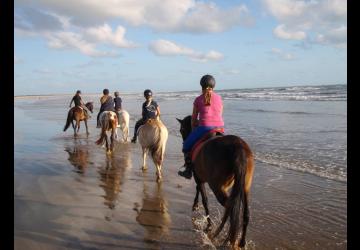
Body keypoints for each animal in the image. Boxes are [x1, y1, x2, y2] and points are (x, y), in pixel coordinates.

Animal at [176, 116, 255, 249]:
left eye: (182, 130)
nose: (183, 145)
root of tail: (238, 147)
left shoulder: (198, 177)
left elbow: (205, 199)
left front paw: (208, 225)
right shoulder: (199, 176)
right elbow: (198, 189)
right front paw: (195, 205)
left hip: (217, 186)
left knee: (230, 207)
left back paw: (225, 237)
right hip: (245, 187)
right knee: (245, 213)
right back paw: (240, 242)